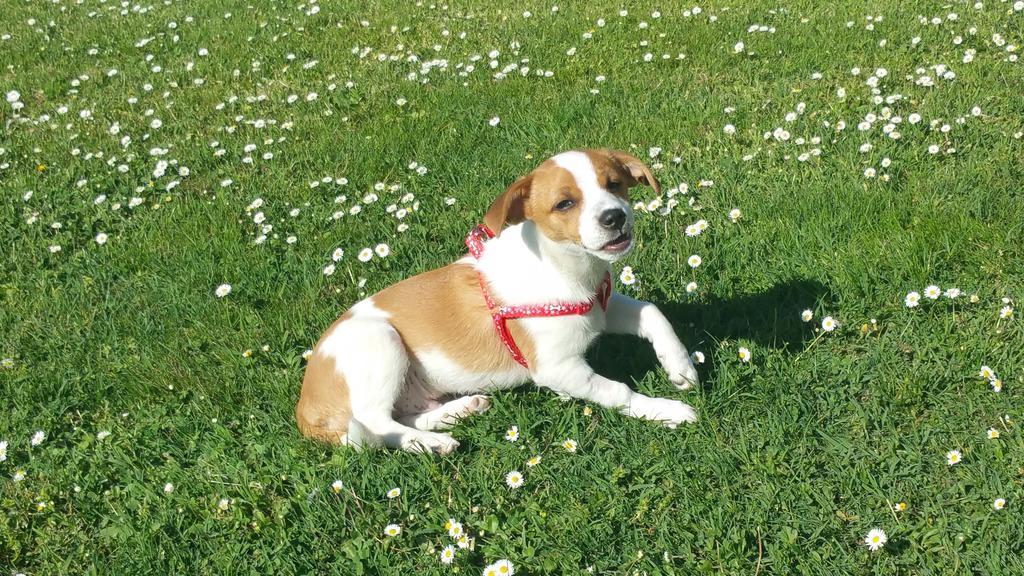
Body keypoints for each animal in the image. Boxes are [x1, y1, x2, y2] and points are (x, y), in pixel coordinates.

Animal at [292, 147, 700, 453]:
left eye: (615, 185)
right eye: (564, 204)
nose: (615, 217)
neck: (565, 268)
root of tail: (305, 407)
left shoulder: (601, 308)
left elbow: (652, 311)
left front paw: (680, 367)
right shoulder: (557, 369)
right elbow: (619, 390)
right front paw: (666, 410)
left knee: (400, 416)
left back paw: (456, 412)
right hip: (379, 342)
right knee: (374, 423)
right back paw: (431, 443)